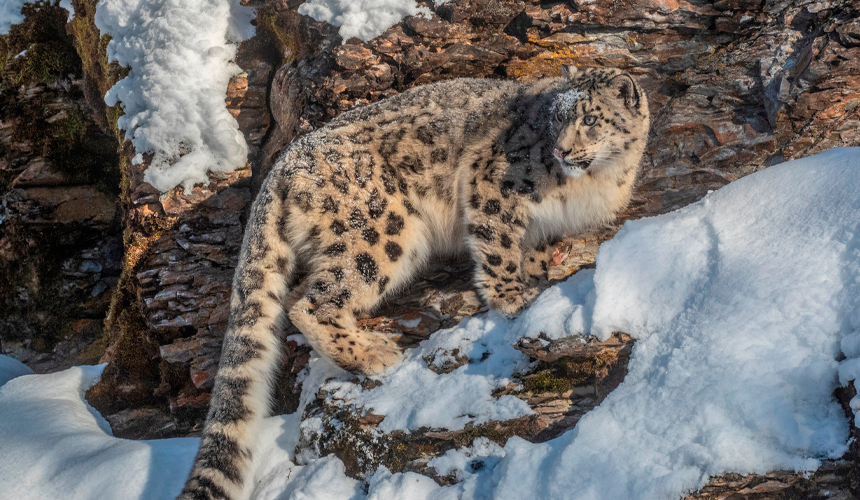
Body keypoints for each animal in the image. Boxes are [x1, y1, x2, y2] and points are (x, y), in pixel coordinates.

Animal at [181, 66, 648, 500]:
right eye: (556, 119)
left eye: (590, 119)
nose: (561, 148)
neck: (595, 182)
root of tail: (283, 164)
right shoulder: (493, 186)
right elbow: (498, 246)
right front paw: (512, 297)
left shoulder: (545, 227)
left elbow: (530, 252)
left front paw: (536, 277)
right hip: (379, 232)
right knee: (310, 302)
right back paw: (371, 353)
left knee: (299, 293)